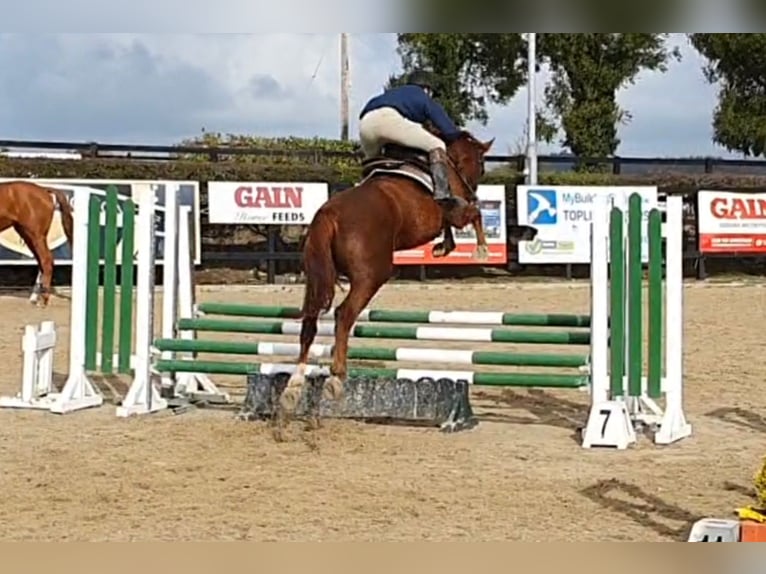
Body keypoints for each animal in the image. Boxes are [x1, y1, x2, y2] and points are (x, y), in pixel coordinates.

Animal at [280, 129, 540, 414]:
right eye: (482, 165)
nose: (472, 190)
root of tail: (329, 213)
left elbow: (456, 227)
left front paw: (443, 248)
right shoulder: (457, 210)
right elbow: (475, 214)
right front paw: (481, 249)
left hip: (318, 278)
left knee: (310, 320)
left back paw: (295, 383)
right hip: (371, 277)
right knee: (344, 314)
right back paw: (336, 377)